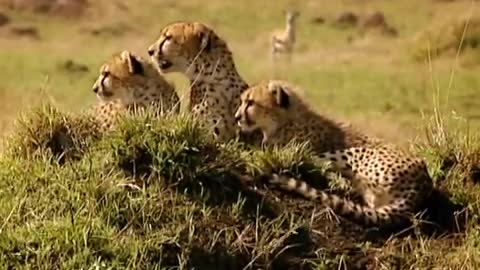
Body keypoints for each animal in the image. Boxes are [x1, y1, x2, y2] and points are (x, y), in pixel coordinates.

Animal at [234, 80, 434, 228]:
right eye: (243, 101)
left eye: (250, 103)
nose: (237, 117)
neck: (283, 121)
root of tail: (422, 186)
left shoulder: (293, 148)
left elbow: (272, 155)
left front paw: (244, 155)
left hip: (354, 154)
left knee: (316, 165)